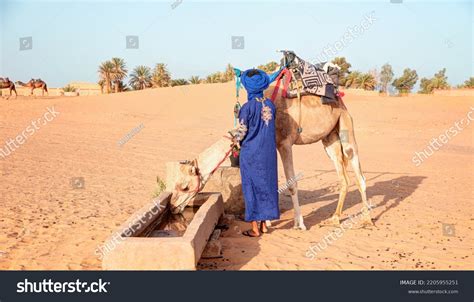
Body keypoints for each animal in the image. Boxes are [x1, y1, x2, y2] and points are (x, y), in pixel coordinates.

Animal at [168, 57, 372, 230]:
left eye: (184, 186)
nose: (172, 206)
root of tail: (339, 97)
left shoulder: (284, 143)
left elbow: (291, 183)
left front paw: (299, 223)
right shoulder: (272, 146)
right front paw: (266, 222)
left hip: (346, 126)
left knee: (358, 173)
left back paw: (367, 219)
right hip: (329, 137)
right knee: (343, 177)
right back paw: (334, 218)